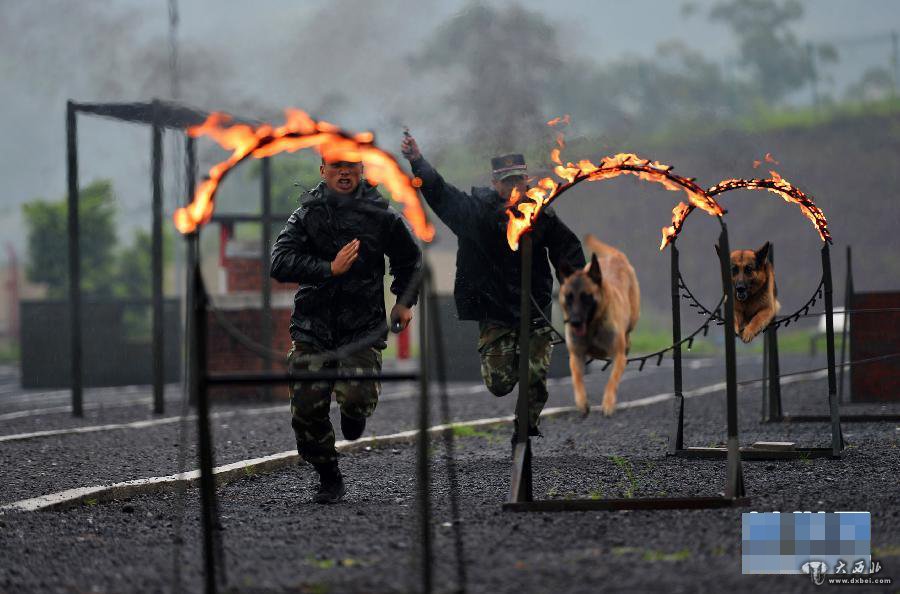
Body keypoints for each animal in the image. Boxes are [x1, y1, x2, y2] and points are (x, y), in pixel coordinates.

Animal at [564, 234, 640, 414]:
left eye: (586, 297)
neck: (592, 326)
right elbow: (577, 379)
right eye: (568, 297)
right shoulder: (576, 355)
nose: (575, 322)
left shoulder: (618, 355)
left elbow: (612, 380)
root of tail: (616, 256)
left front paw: (608, 403)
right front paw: (582, 402)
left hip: (632, 318)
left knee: (628, 335)